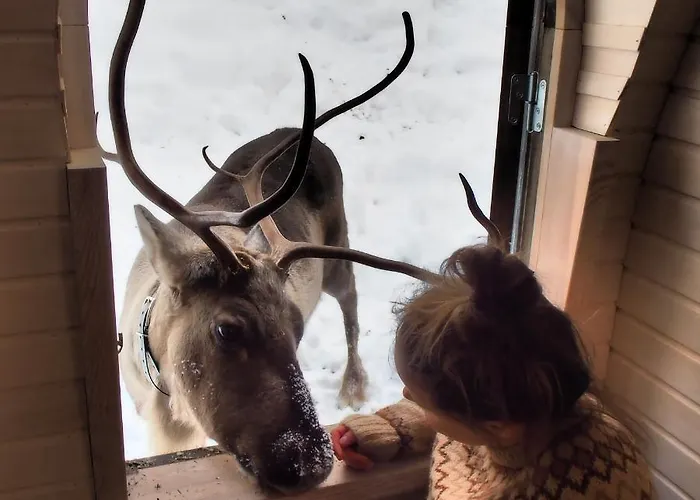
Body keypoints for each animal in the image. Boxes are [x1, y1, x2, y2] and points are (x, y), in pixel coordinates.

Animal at [101, 0, 501, 494]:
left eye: (297, 326)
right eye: (226, 330)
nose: (311, 464)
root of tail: (310, 138)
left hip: (339, 249)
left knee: (351, 307)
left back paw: (353, 384)